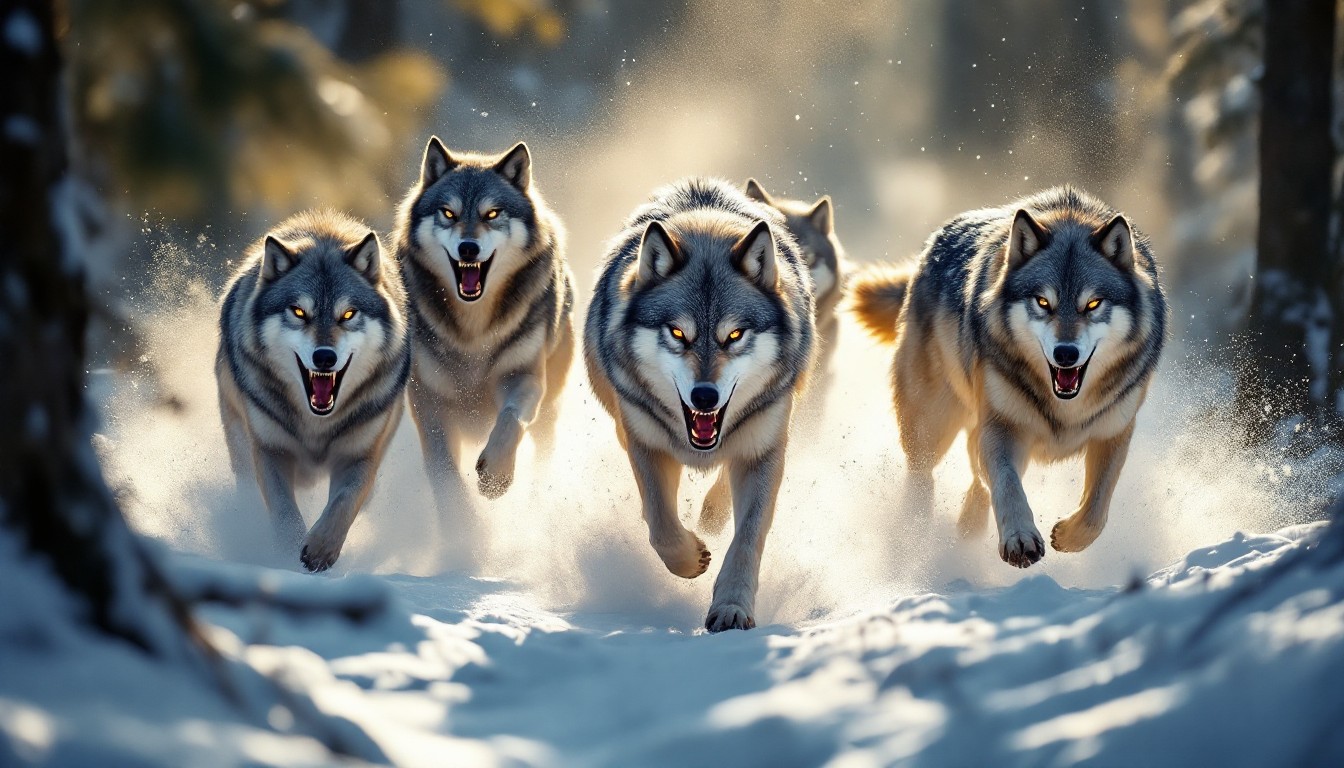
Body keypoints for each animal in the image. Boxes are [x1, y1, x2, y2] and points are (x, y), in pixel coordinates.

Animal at [217, 210, 410, 572]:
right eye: (299, 312)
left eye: (347, 314)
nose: (324, 357)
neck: (317, 424)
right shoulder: (270, 449)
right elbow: (284, 512)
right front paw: (286, 557)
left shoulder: (361, 454)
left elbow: (344, 503)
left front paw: (320, 550)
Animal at [396, 137, 574, 507]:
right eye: (448, 213)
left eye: (491, 214)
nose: (468, 248)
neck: (473, 331)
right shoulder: (430, 403)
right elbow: (446, 477)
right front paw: (461, 520)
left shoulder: (523, 377)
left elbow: (511, 418)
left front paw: (496, 476)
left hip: (550, 405)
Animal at [584, 177, 816, 631]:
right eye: (678, 333)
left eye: (734, 335)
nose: (704, 396)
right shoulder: (645, 443)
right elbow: (660, 524)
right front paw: (691, 560)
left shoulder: (763, 449)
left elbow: (747, 539)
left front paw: (732, 608)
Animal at [851, 187, 1166, 567]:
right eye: (1043, 302)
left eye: (1092, 305)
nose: (1065, 353)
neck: (1065, 409)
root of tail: (929, 249)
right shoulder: (1002, 427)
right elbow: (1006, 483)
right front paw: (1020, 539)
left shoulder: (1114, 432)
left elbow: (1096, 510)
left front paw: (1068, 536)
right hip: (932, 424)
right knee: (922, 473)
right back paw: (916, 533)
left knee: (975, 473)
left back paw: (968, 526)